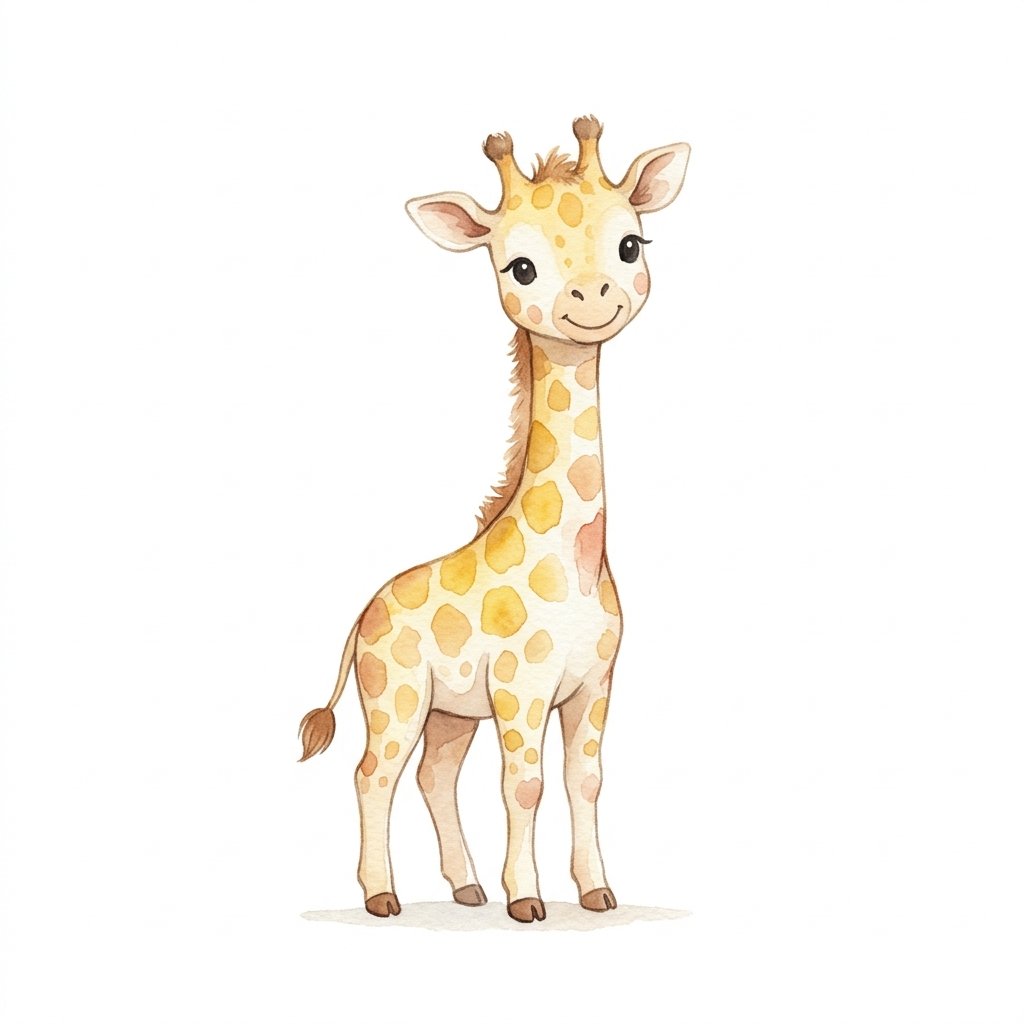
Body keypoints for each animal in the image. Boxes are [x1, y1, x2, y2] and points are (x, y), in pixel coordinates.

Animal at [298, 116, 689, 923]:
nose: (592, 298)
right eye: (521, 267)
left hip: (450, 713)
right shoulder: (521, 685)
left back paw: (466, 887)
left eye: (631, 245)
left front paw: (596, 891)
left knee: (433, 775)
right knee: (373, 773)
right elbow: (526, 785)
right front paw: (529, 901)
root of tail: (361, 618)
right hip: (396, 696)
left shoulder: (594, 684)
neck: (575, 558)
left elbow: (584, 781)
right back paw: (383, 896)